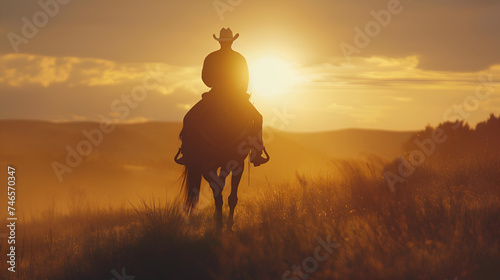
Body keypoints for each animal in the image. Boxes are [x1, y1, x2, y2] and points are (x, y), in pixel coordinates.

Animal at [176, 93, 270, 231]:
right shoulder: (206, 166)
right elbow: (218, 192)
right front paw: (220, 225)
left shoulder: (237, 164)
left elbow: (231, 197)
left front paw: (228, 226)